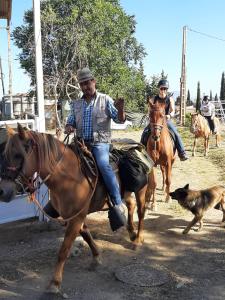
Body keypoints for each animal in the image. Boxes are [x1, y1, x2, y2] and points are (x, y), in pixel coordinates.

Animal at [0, 123, 148, 294]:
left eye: (18, 155)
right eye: (5, 154)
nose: (2, 191)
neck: (69, 178)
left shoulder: (77, 217)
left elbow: (64, 249)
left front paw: (55, 283)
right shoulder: (73, 216)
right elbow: (86, 234)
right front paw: (96, 257)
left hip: (141, 191)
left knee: (141, 212)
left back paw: (137, 240)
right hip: (125, 192)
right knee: (130, 205)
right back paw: (131, 233)